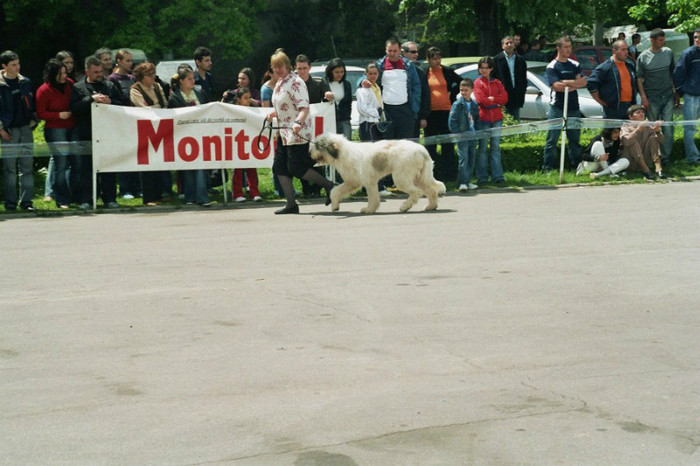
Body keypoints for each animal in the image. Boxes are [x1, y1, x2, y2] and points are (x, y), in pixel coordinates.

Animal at [310, 132, 446, 214]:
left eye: (317, 145)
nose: (310, 153)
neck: (343, 153)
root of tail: (422, 150)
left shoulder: (368, 182)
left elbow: (373, 198)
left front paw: (368, 209)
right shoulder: (351, 182)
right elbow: (335, 191)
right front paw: (335, 206)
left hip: (401, 177)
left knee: (417, 192)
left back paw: (405, 207)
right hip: (420, 177)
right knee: (431, 191)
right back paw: (431, 206)